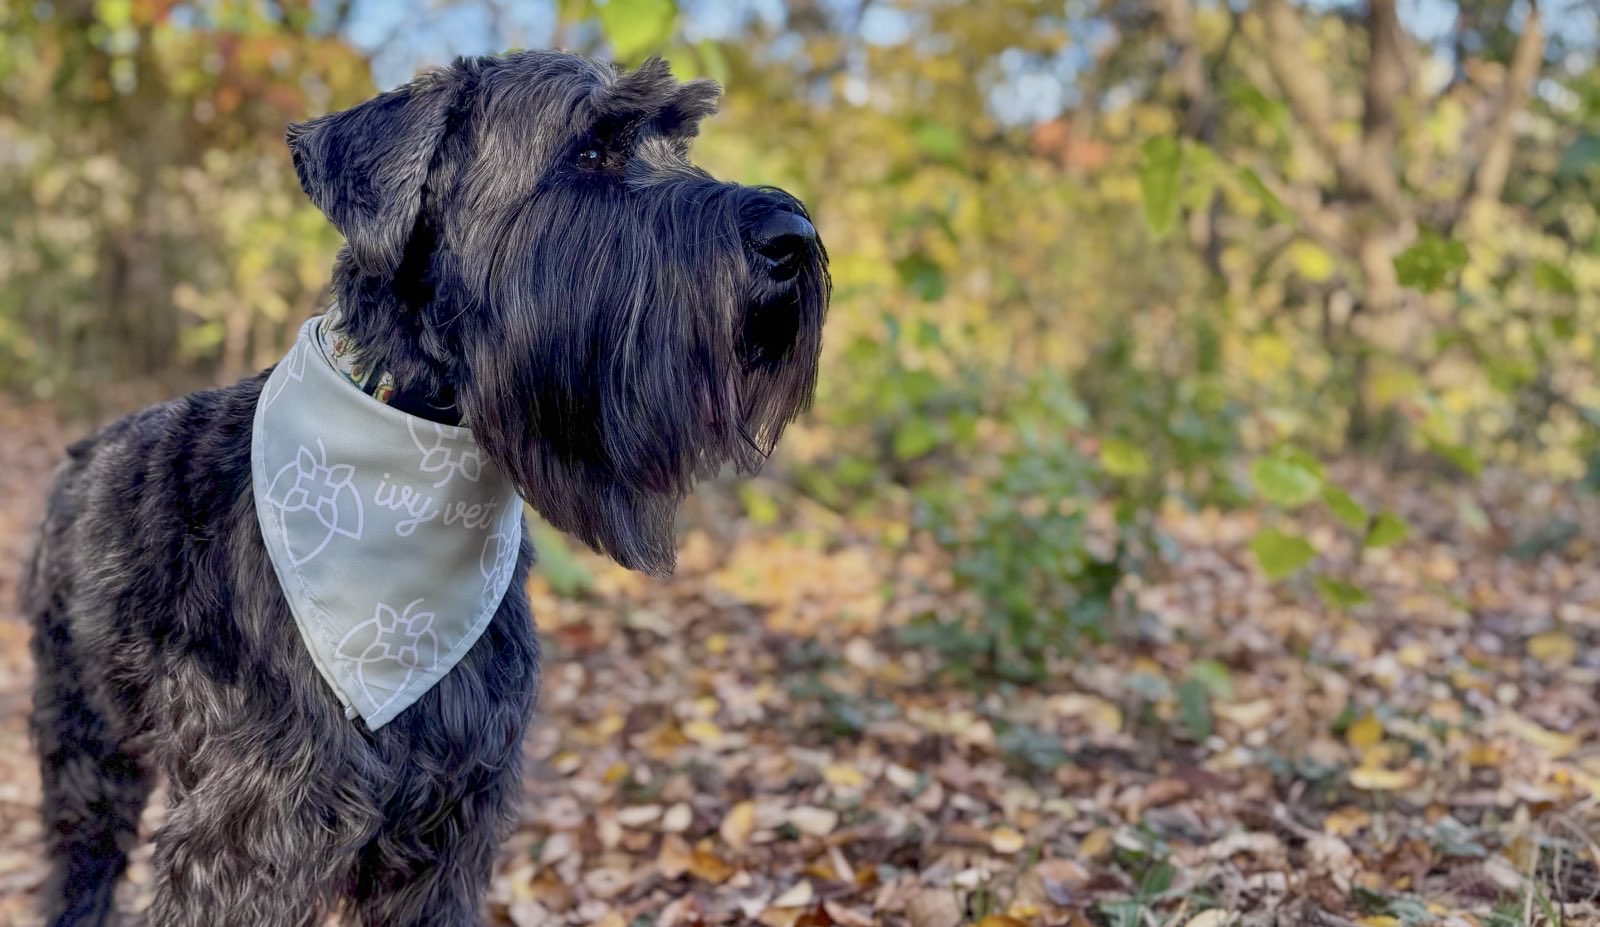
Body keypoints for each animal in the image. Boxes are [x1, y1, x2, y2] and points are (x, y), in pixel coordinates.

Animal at [21, 52, 825, 927]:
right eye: (591, 150)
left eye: (678, 143)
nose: (793, 235)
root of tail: (75, 458)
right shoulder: (251, 829)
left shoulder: (451, 826)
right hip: (85, 749)